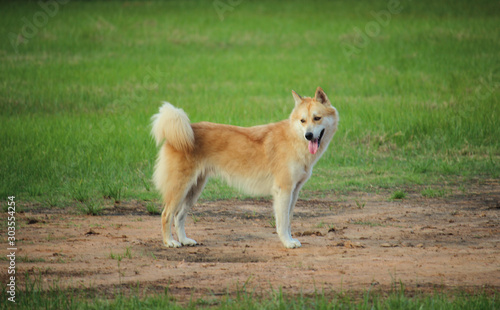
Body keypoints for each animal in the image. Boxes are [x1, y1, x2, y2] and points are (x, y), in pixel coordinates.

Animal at [151, 88, 340, 249]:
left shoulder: (294, 191)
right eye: (303, 120)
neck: (294, 139)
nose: (308, 135)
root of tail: (183, 131)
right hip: (180, 188)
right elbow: (283, 222)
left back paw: (184, 240)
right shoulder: (284, 190)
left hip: (193, 190)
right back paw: (170, 242)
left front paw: (290, 239)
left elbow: (289, 219)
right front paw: (287, 242)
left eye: (317, 118)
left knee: (179, 216)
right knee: (166, 215)